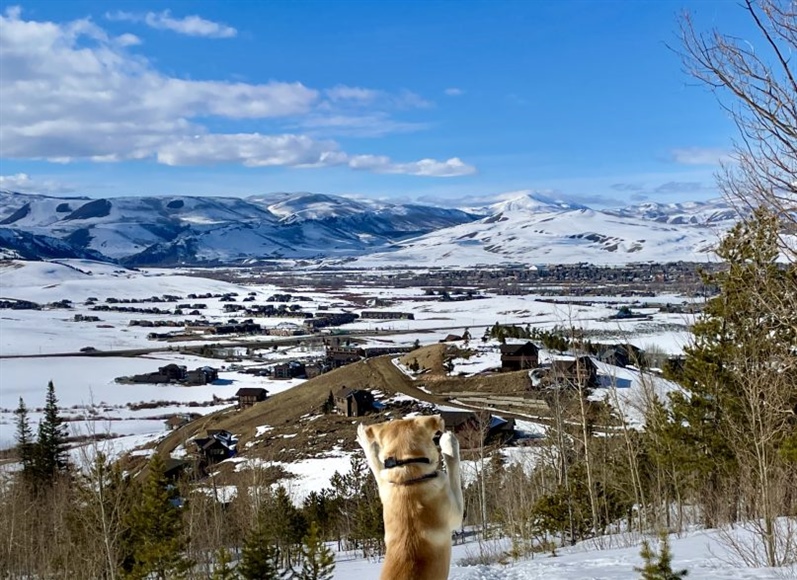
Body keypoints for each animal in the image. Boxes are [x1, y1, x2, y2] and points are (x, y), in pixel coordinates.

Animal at [358, 414, 464, 576]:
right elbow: (453, 468)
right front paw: (449, 442)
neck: (407, 475)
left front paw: (365, 438)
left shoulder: (385, 484)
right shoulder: (456, 513)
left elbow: (376, 465)